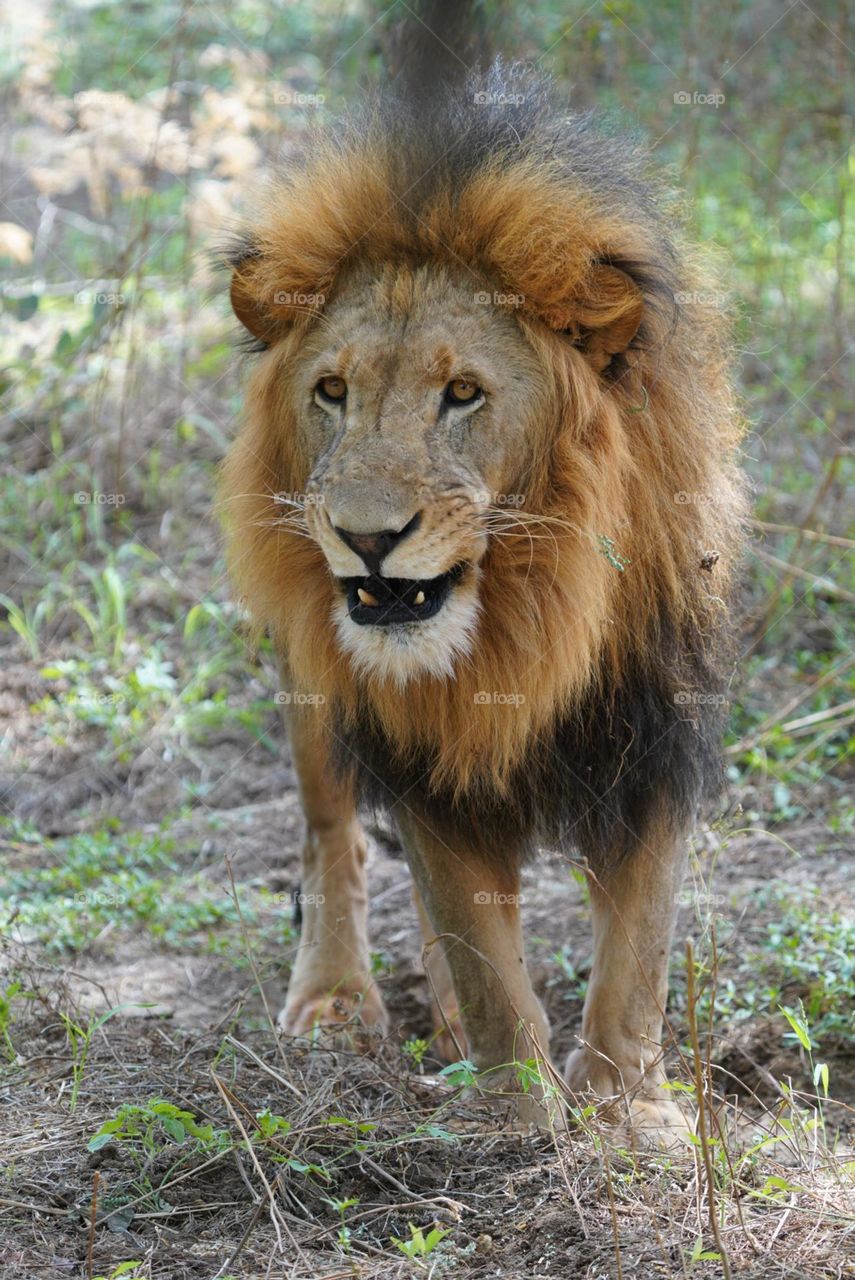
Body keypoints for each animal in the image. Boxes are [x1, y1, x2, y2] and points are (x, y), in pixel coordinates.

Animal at [219, 8, 745, 1145]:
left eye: (462, 393)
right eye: (332, 391)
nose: (367, 538)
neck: (529, 603)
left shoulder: (656, 720)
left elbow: (640, 942)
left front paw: (626, 1108)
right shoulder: (411, 742)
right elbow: (472, 929)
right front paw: (517, 1110)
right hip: (310, 670)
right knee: (332, 834)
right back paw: (336, 997)